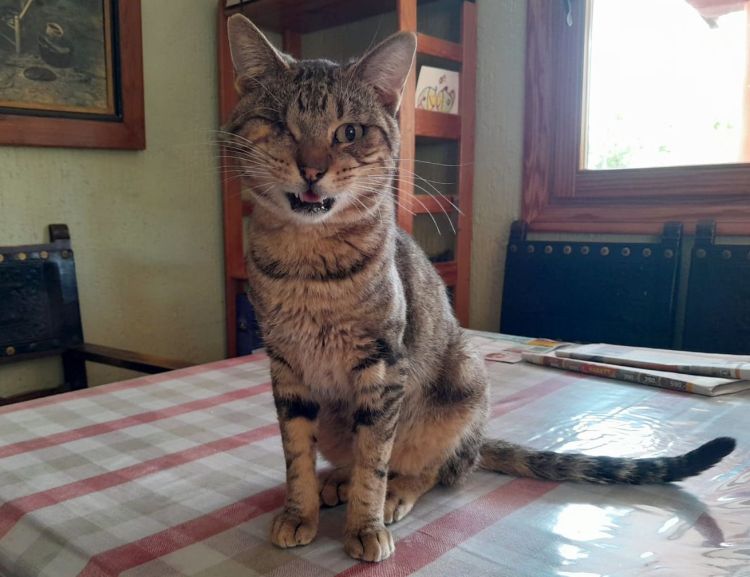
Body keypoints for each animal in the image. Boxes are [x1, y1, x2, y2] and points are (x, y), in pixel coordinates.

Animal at [223, 14, 736, 563]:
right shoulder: (286, 368)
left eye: (350, 132)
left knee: (431, 468)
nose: (313, 169)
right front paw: (299, 513)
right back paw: (336, 478)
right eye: (280, 126)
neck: (308, 265)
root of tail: (479, 437)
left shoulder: (382, 367)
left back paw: (395, 493)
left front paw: (365, 523)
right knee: (360, 455)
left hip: (461, 381)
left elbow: (375, 462)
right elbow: (297, 453)